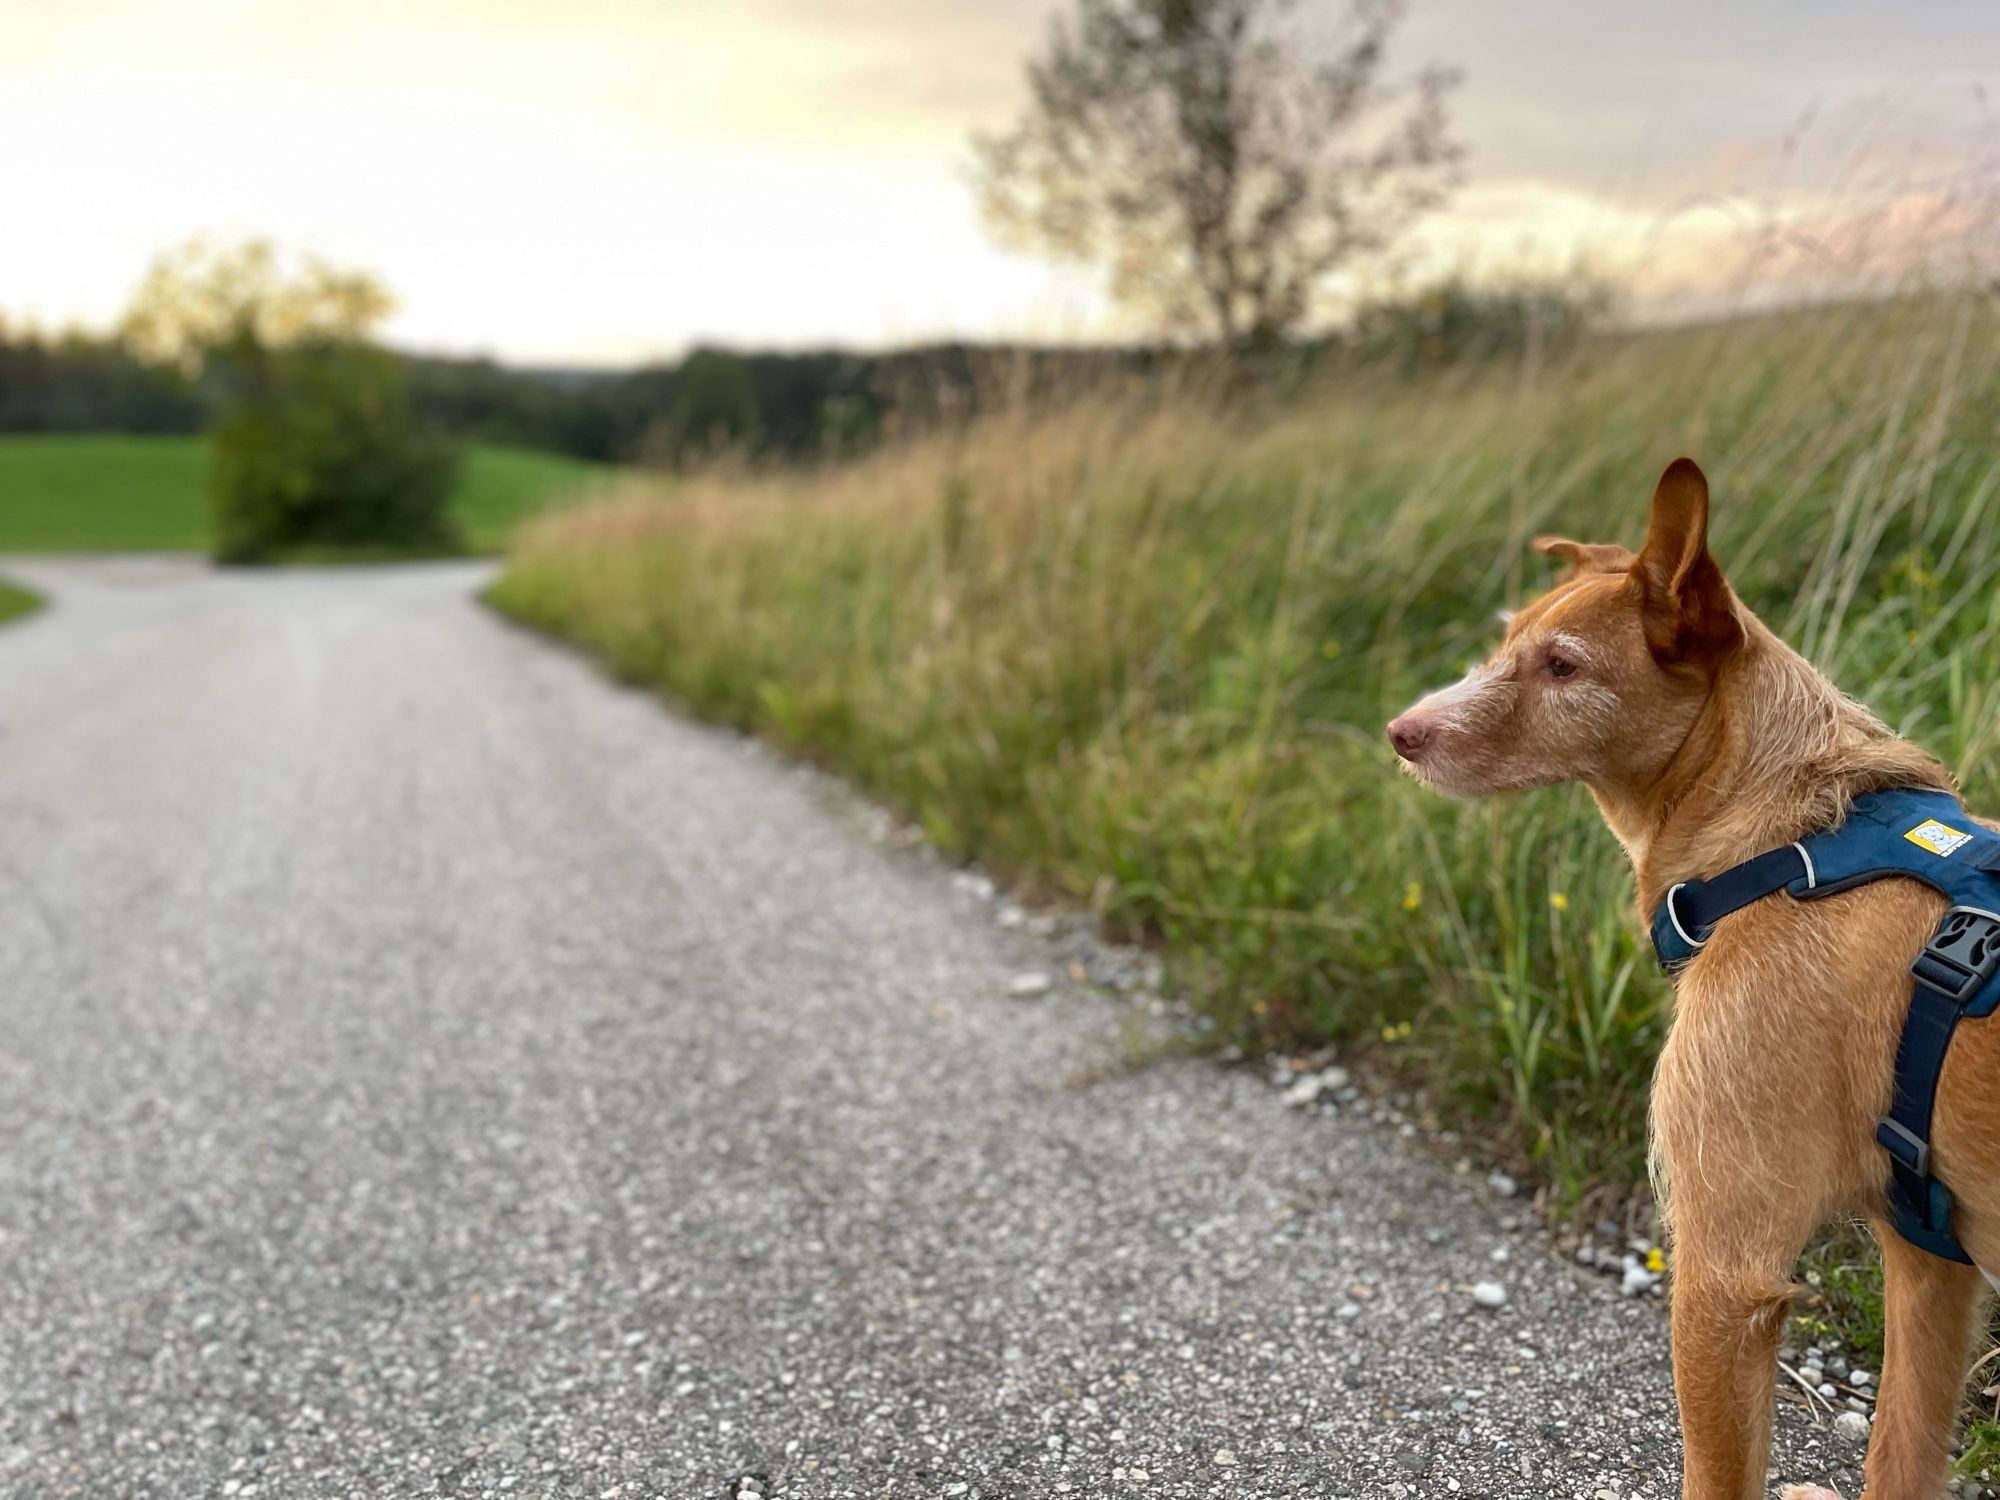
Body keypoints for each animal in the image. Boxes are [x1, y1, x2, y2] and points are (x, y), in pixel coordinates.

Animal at [1392, 458, 2000, 1500]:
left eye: (1562, 667)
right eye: (1508, 641)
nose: (1400, 731)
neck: (1791, 841)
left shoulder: (1723, 1276)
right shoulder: (1930, 1261)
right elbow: (1901, 1451)